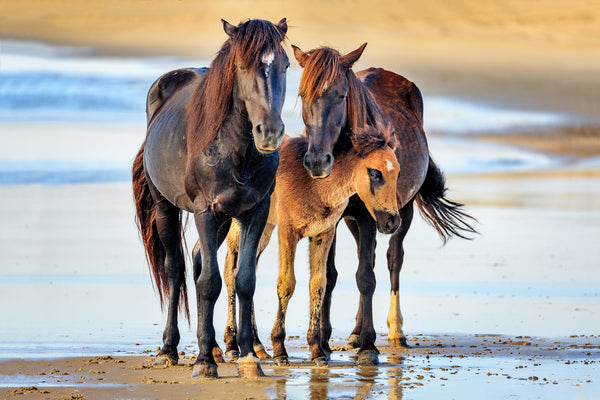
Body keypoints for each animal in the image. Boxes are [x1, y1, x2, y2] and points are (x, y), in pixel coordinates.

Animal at [132, 17, 290, 378]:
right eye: (243, 66)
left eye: (286, 65)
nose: (269, 132)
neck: (235, 148)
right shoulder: (206, 210)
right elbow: (210, 282)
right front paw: (203, 363)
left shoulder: (254, 212)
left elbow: (243, 279)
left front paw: (248, 357)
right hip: (166, 207)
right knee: (176, 268)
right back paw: (169, 350)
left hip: (223, 220)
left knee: (197, 259)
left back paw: (217, 348)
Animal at [223, 124, 400, 366]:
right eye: (374, 173)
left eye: (397, 173)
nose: (393, 222)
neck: (314, 185)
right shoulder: (287, 232)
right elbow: (286, 284)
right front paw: (280, 350)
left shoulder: (323, 233)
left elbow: (318, 284)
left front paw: (317, 351)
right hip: (241, 224)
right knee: (230, 270)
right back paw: (232, 346)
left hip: (264, 227)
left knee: (247, 269)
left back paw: (257, 346)